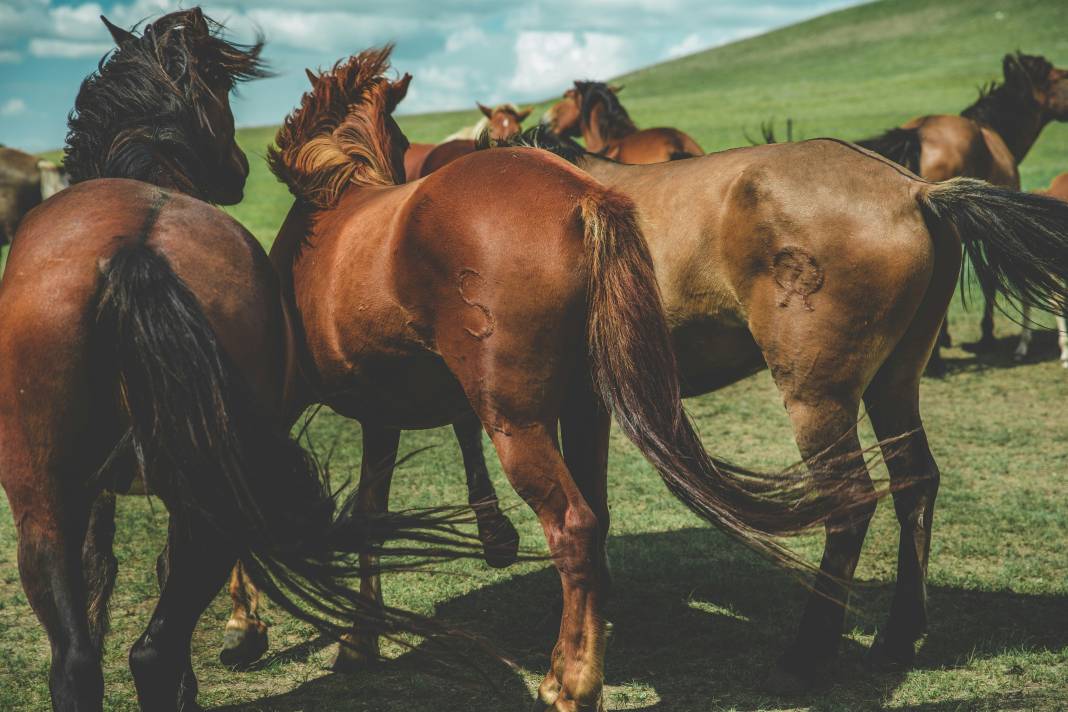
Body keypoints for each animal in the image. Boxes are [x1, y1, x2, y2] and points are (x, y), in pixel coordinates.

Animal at [0, 12, 484, 712]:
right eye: (222, 94)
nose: (236, 173)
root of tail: (135, 250)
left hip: (52, 497)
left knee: (86, 660)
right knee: (139, 648)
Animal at [474, 125, 1068, 691]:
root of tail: (915, 190)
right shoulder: (589, 399)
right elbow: (593, 498)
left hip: (817, 401)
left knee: (851, 504)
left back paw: (805, 658)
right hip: (894, 385)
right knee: (916, 483)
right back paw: (897, 639)